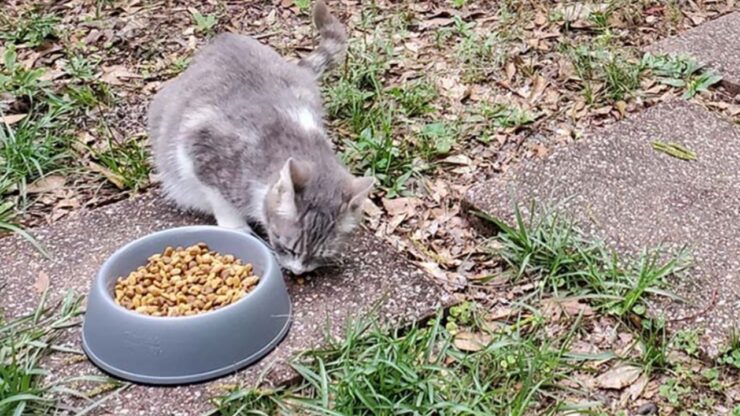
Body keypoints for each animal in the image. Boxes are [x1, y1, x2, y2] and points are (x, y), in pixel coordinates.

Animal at [147, 2, 372, 276]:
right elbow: (219, 199)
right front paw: (237, 227)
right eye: (288, 247)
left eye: (320, 256)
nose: (298, 271)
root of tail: (224, 39)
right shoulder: (200, 150)